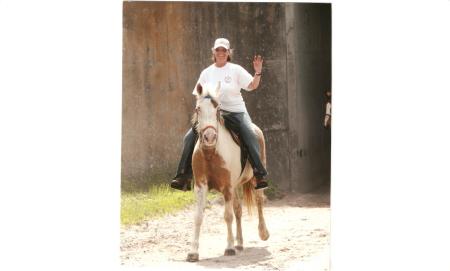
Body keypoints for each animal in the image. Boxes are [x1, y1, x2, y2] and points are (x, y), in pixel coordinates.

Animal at [186, 82, 270, 262]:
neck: (211, 152)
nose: (209, 137)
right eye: (198, 109)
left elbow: (227, 215)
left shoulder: (227, 187)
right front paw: (193, 252)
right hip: (236, 185)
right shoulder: (201, 186)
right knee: (238, 210)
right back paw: (239, 243)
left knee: (259, 201)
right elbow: (198, 216)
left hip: (255, 180)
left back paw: (263, 233)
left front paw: (229, 247)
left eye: (217, 109)